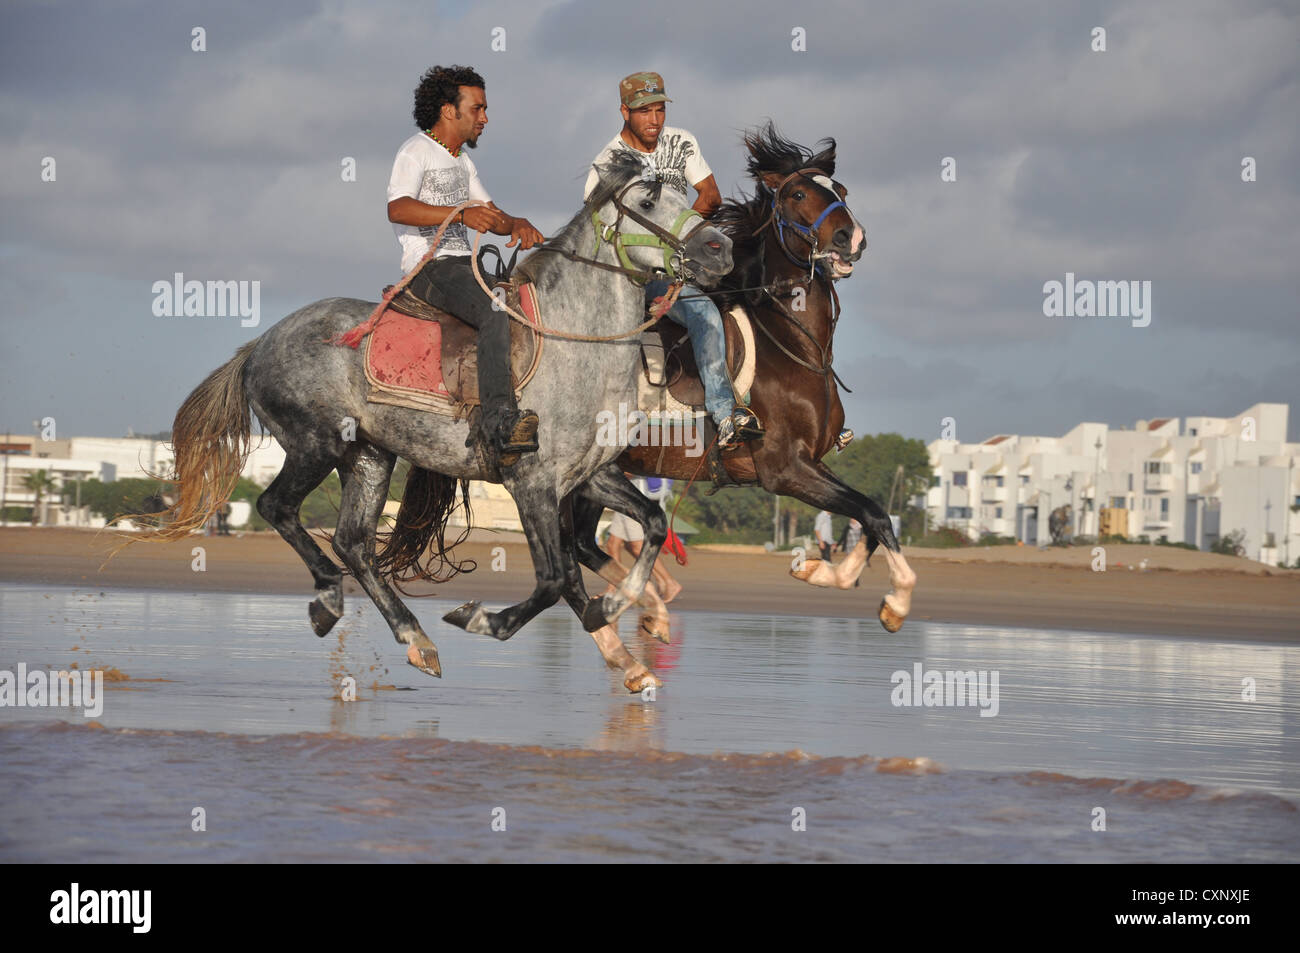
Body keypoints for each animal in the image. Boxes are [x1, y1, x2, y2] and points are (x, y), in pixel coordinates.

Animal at [574, 122, 920, 634]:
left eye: (840, 191)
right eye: (797, 193)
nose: (849, 237)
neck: (795, 346)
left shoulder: (813, 461)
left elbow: (873, 514)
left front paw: (820, 570)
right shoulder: (784, 469)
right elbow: (874, 513)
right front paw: (895, 601)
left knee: (580, 544)